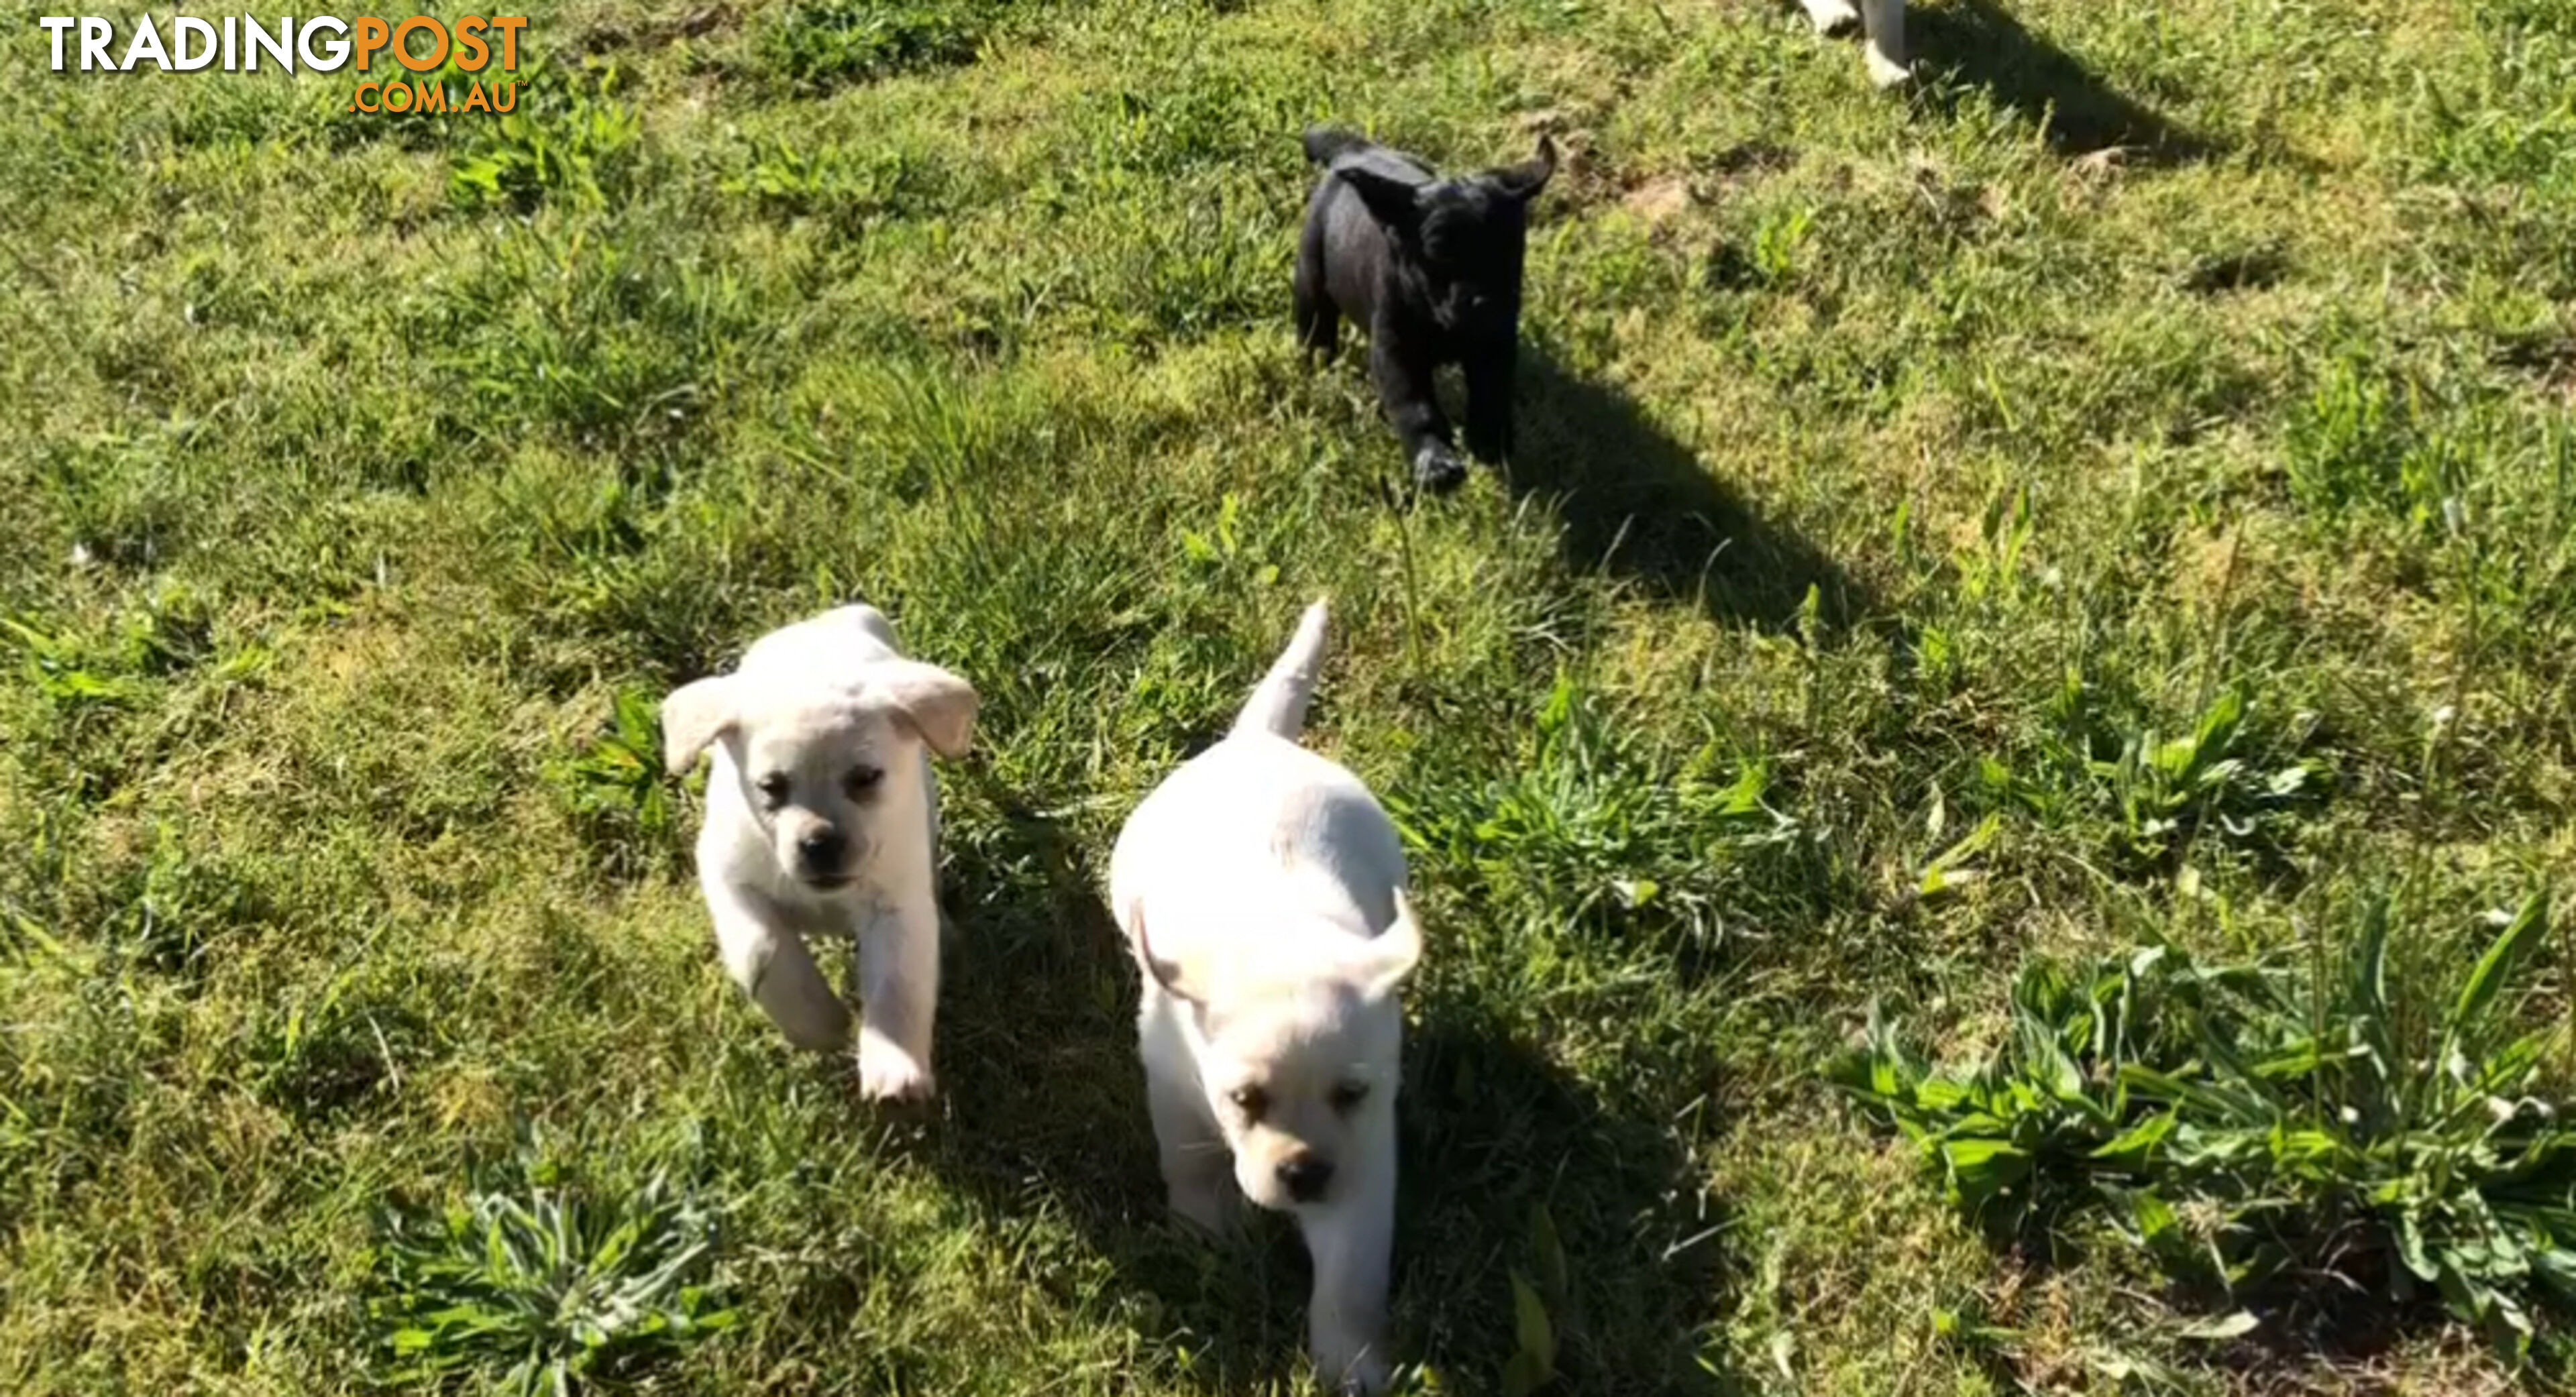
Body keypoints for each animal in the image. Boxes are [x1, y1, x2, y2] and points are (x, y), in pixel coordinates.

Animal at [659, 603, 979, 1108]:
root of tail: (830, 618)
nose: (821, 846)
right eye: (771, 787)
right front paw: (821, 1023)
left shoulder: (896, 905)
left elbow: (898, 984)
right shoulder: (727, 874)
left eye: (865, 778)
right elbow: (761, 947)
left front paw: (895, 1072)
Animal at [1112, 606, 1432, 1397]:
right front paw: (1208, 1233)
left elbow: (1351, 1278)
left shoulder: (1365, 1158)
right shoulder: (1173, 1081)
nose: (1305, 1174)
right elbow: (1191, 1161)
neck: (1278, 935)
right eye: (1246, 1100)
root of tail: (1261, 739)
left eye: (1352, 1093)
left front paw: (1353, 1366)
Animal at [1298, 126, 1556, 494]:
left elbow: (1492, 394)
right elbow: (1416, 408)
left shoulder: (1495, 346)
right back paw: (1318, 364)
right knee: (1316, 326)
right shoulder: (1396, 351)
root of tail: (1354, 150)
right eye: (1439, 254)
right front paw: (1435, 462)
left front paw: (1489, 440)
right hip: (1310, 279)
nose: (1487, 303)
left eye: (1509, 251)